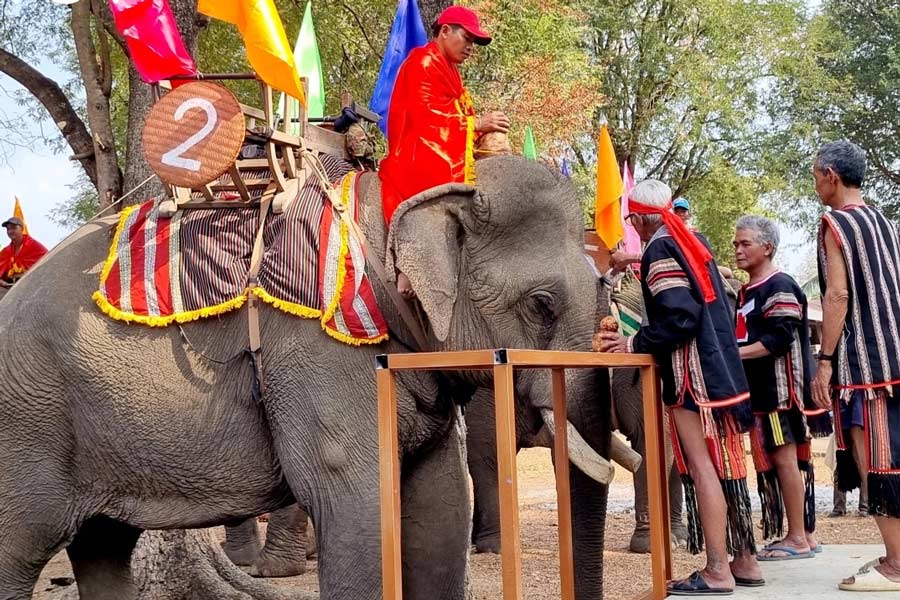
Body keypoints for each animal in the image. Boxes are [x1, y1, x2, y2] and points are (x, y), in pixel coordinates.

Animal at [0, 156, 612, 600]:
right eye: (541, 305)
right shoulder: (319, 354)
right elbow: (359, 503)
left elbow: (439, 508)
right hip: (28, 421)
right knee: (22, 548)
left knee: (103, 545)